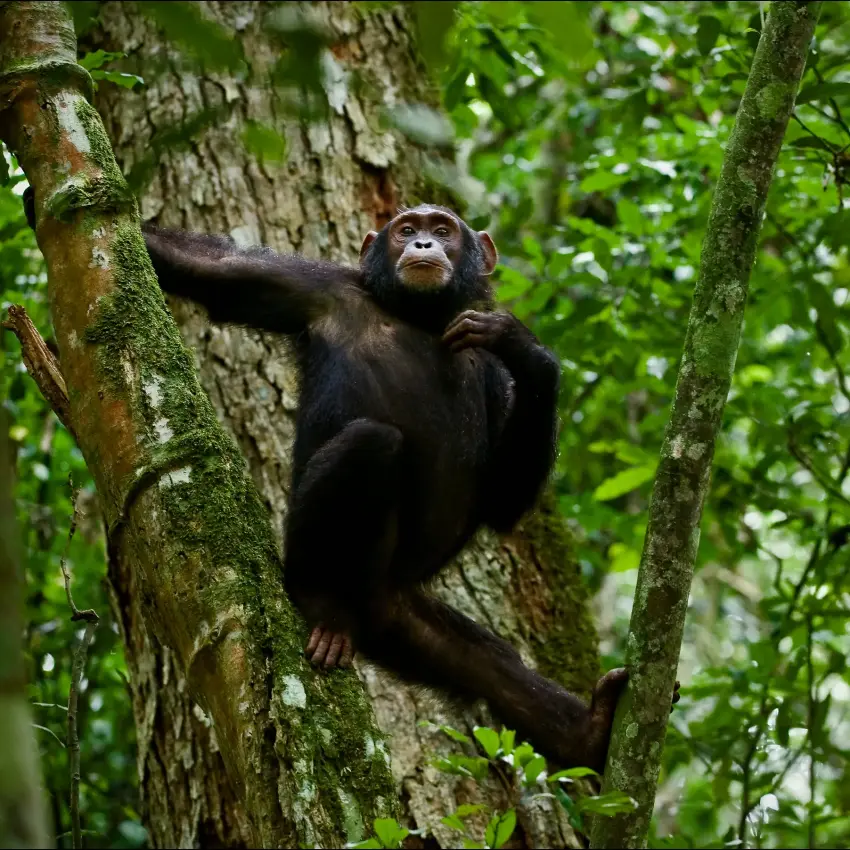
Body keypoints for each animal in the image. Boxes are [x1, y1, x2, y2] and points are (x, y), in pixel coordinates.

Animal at [23, 187, 666, 771]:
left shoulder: (501, 384)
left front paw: (526, 347)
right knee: (372, 444)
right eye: (406, 229)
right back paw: (320, 601)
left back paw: (586, 731)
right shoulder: (313, 286)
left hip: (401, 620)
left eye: (444, 229)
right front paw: (36, 194)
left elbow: (503, 504)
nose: (424, 243)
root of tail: (366, 606)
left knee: (491, 666)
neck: (418, 316)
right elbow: (212, 268)